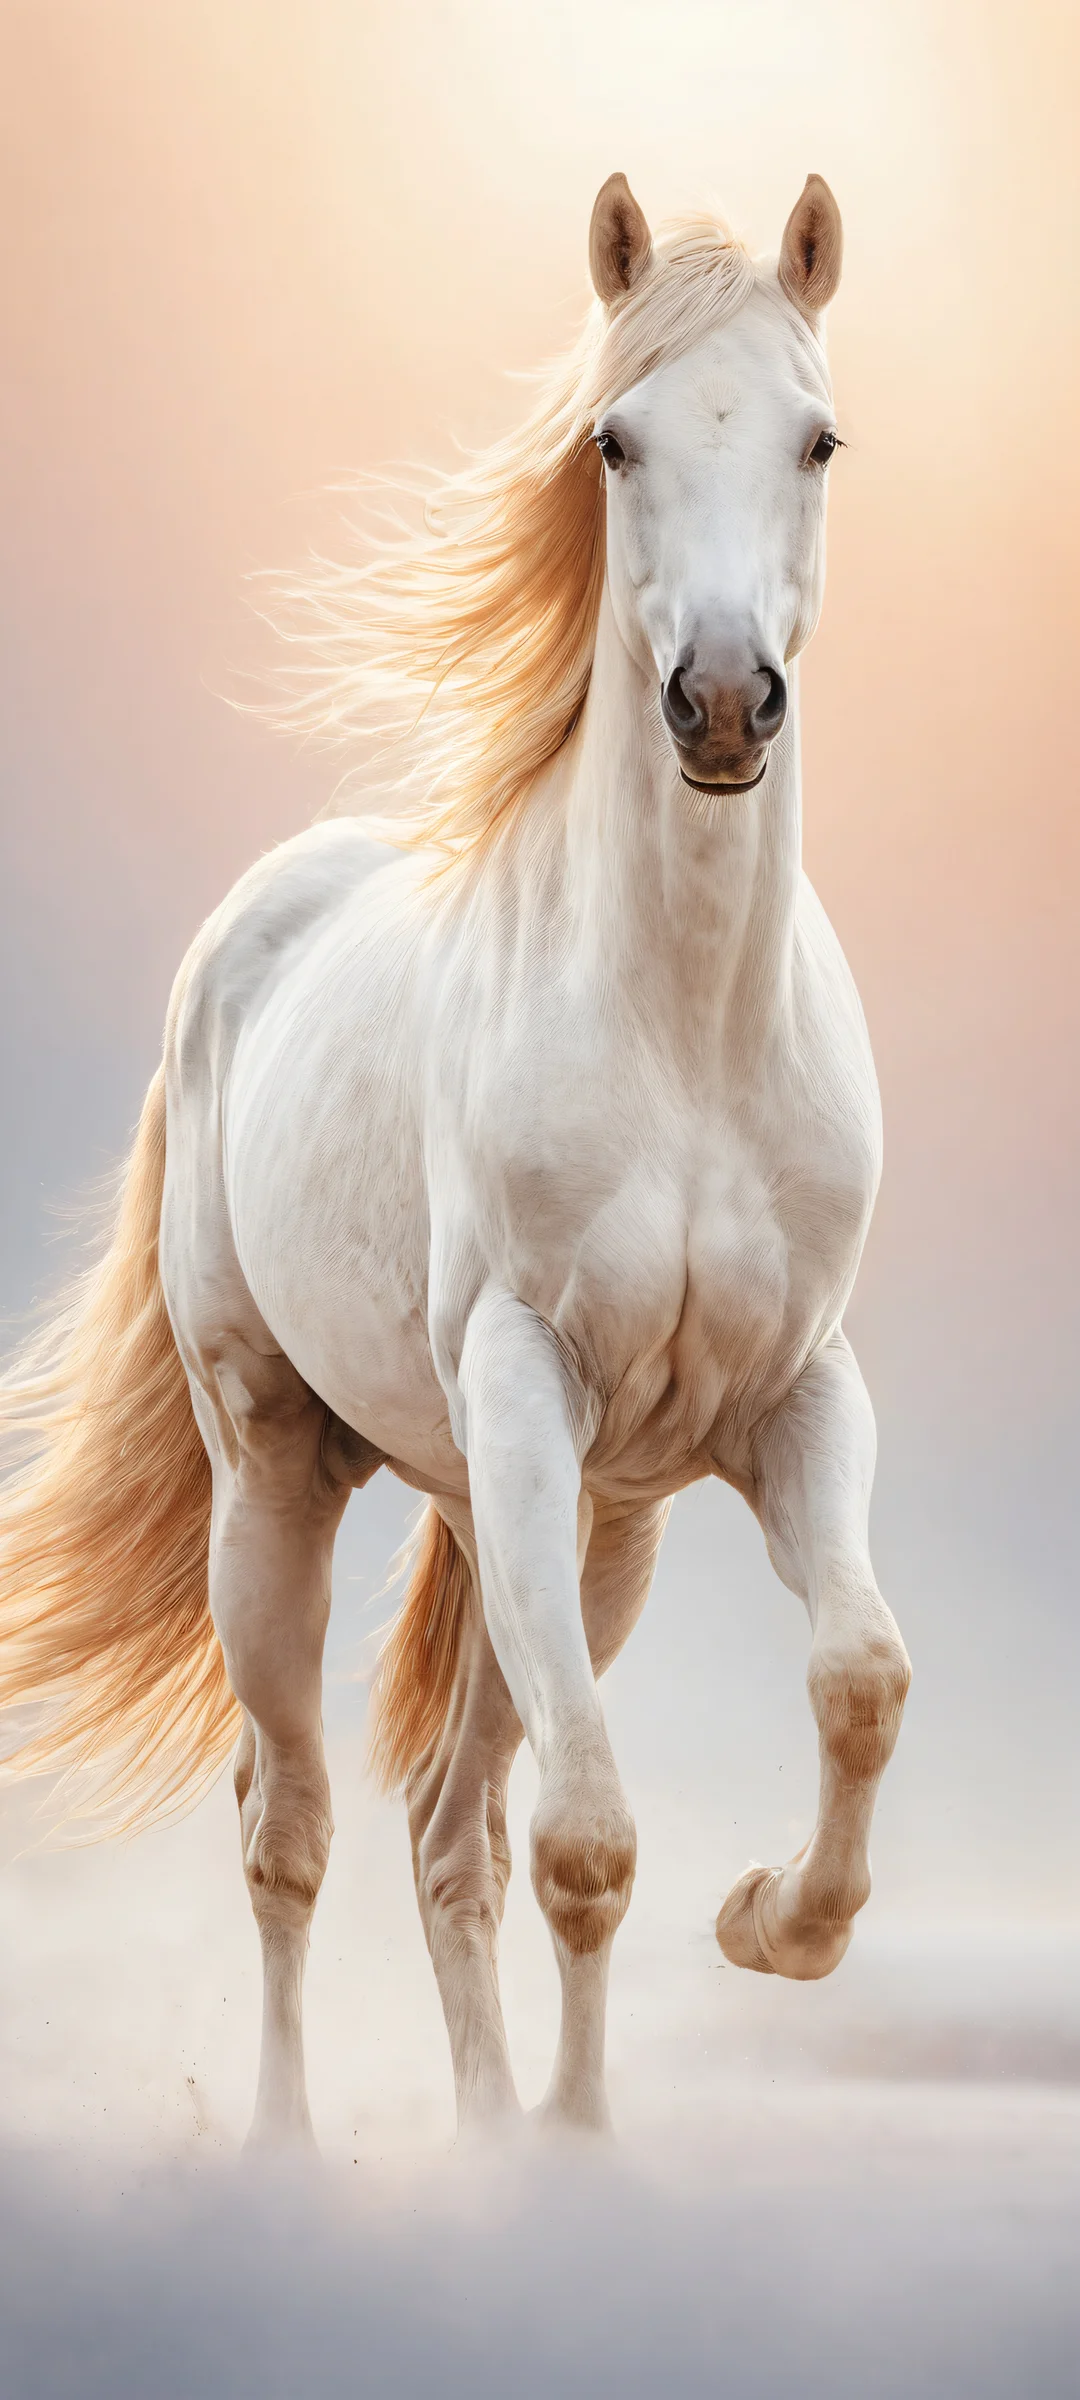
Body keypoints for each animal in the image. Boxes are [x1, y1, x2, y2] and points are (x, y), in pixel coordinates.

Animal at [0, 171, 911, 2148]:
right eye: (615, 440)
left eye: (818, 437)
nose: (723, 706)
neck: (683, 1036)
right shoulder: (520, 1394)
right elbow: (587, 1840)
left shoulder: (792, 1400)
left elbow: (858, 1677)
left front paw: (767, 1931)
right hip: (285, 1483)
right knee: (291, 1825)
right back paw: (285, 2152)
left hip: (576, 1533)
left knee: (445, 1833)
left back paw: (503, 2136)